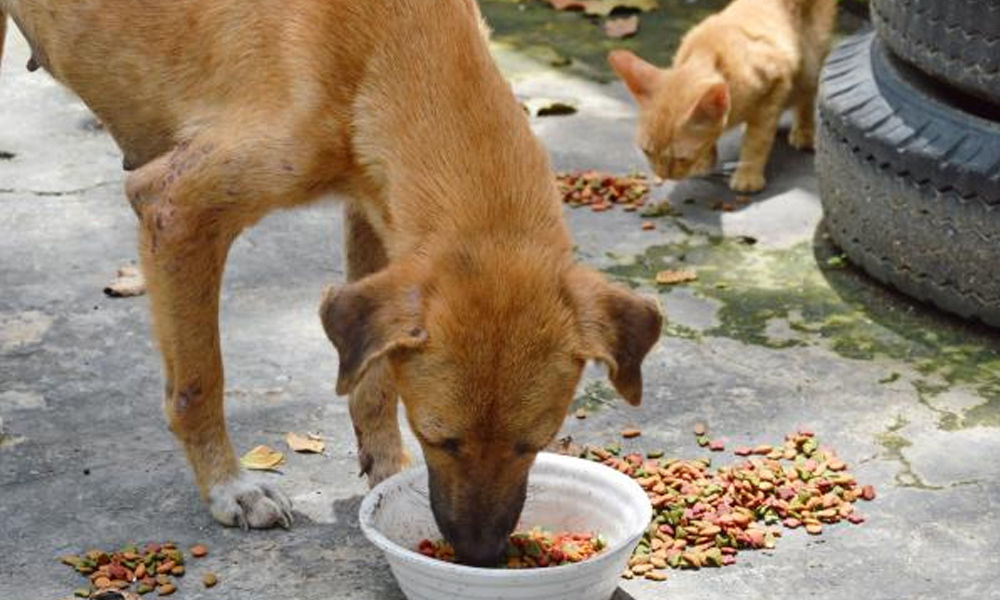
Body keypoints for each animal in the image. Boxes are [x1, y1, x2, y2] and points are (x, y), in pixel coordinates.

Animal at [5, 0, 664, 564]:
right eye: (439, 438)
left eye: (536, 442)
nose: (481, 556)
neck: (389, 48)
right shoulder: (177, 210)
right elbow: (199, 382)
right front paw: (230, 488)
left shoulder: (376, 212)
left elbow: (373, 384)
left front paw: (388, 473)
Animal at [608, 0, 836, 192]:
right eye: (647, 152)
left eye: (681, 159)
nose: (663, 176)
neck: (707, 54)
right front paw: (706, 158)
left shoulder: (775, 87)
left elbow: (757, 139)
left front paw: (748, 174)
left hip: (810, 65)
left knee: (807, 95)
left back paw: (804, 131)